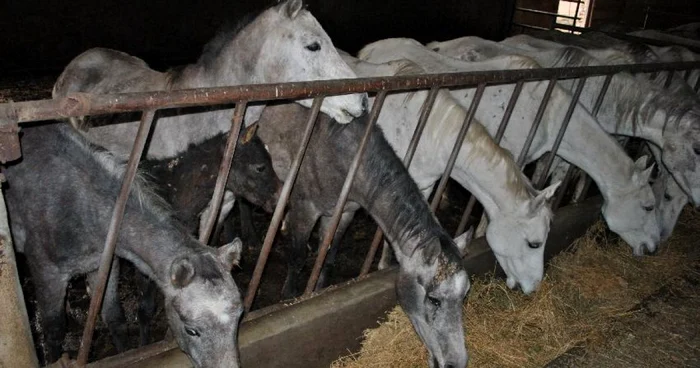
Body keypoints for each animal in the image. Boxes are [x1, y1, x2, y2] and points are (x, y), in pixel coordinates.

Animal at [3, 124, 243, 368]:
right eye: (191, 330)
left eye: (238, 319)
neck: (84, 209)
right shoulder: (46, 273)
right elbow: (54, 331)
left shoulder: (104, 266)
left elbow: (114, 317)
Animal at [256, 103, 470, 368]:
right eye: (433, 299)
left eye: (465, 296)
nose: (456, 363)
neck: (348, 158)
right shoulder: (306, 209)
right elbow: (297, 258)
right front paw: (289, 297)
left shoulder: (344, 212)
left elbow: (328, 256)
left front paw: (319, 289)